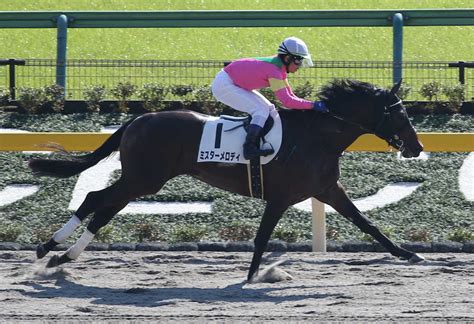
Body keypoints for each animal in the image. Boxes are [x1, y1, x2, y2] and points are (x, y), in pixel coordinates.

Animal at [30, 79, 426, 280]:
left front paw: (408, 254)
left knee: (103, 207)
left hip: (142, 180)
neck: (316, 137)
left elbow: (367, 224)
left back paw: (62, 254)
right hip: (144, 179)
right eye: (400, 114)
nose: (416, 146)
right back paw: (50, 249)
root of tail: (137, 119)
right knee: (96, 199)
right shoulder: (281, 197)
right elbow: (262, 237)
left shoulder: (327, 189)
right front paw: (254, 276)